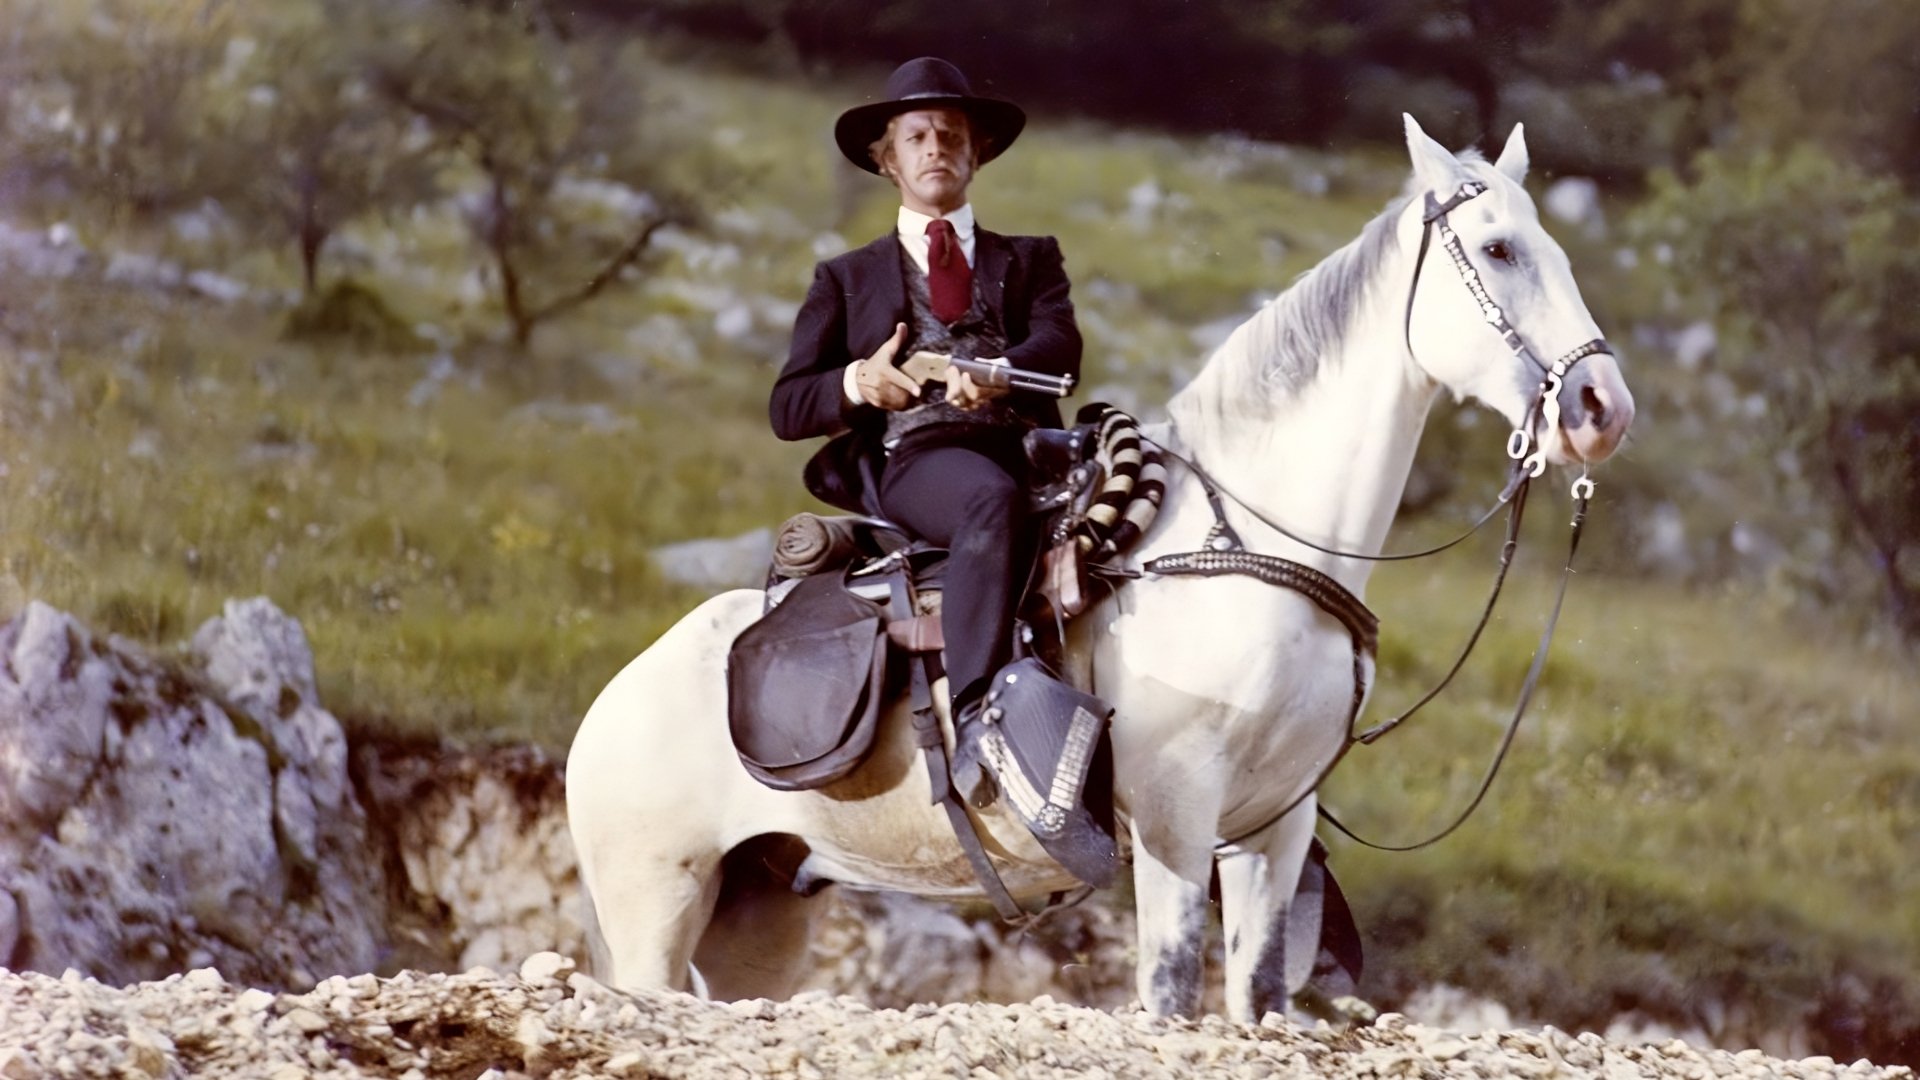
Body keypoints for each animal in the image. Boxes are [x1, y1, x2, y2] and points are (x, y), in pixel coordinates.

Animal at [568, 117, 1635, 1014]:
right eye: (1498, 250)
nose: (1601, 408)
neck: (1248, 555)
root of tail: (615, 696)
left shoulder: (1272, 831)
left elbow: (1256, 997)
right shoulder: (1175, 820)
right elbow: (1167, 994)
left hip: (763, 919)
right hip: (653, 908)